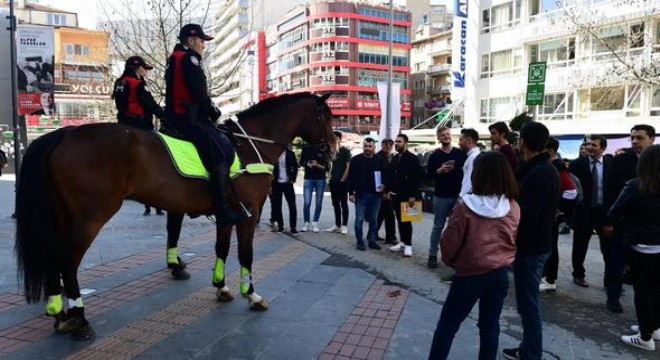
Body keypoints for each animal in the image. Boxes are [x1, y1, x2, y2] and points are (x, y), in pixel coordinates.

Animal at [15, 92, 336, 340]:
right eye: (325, 116)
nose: (332, 148)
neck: (248, 145)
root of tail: (64, 133)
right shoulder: (249, 213)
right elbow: (246, 254)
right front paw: (251, 293)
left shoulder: (226, 215)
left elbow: (221, 248)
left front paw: (221, 287)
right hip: (89, 218)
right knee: (68, 261)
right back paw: (79, 317)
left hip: (62, 217)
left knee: (53, 256)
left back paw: (59, 313)